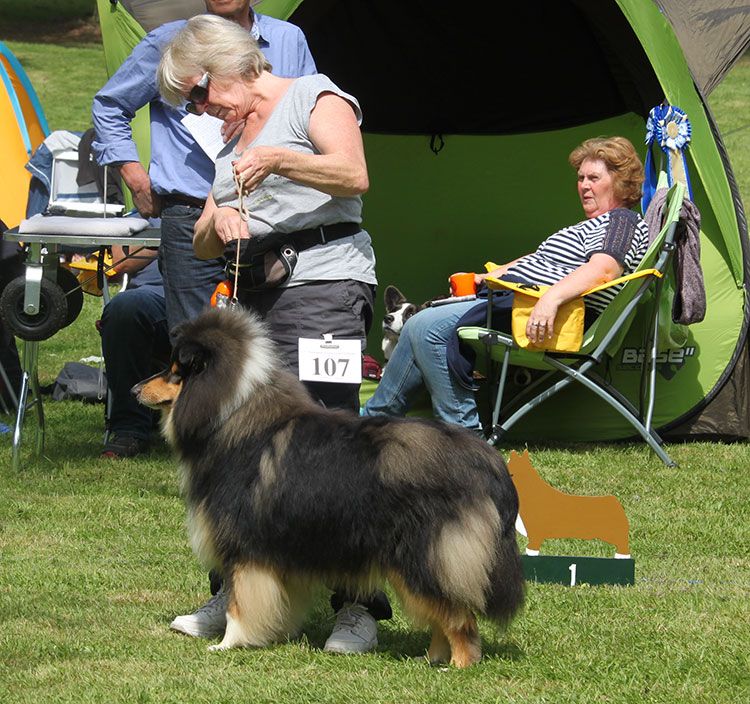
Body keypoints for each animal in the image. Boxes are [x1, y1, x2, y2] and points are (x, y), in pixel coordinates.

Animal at [134, 310, 524, 668]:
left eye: (176, 369)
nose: (134, 389)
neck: (227, 414)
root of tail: (490, 462)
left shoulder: (246, 546)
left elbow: (239, 603)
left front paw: (228, 644)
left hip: (424, 555)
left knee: (459, 617)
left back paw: (457, 666)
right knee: (443, 616)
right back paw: (429, 660)